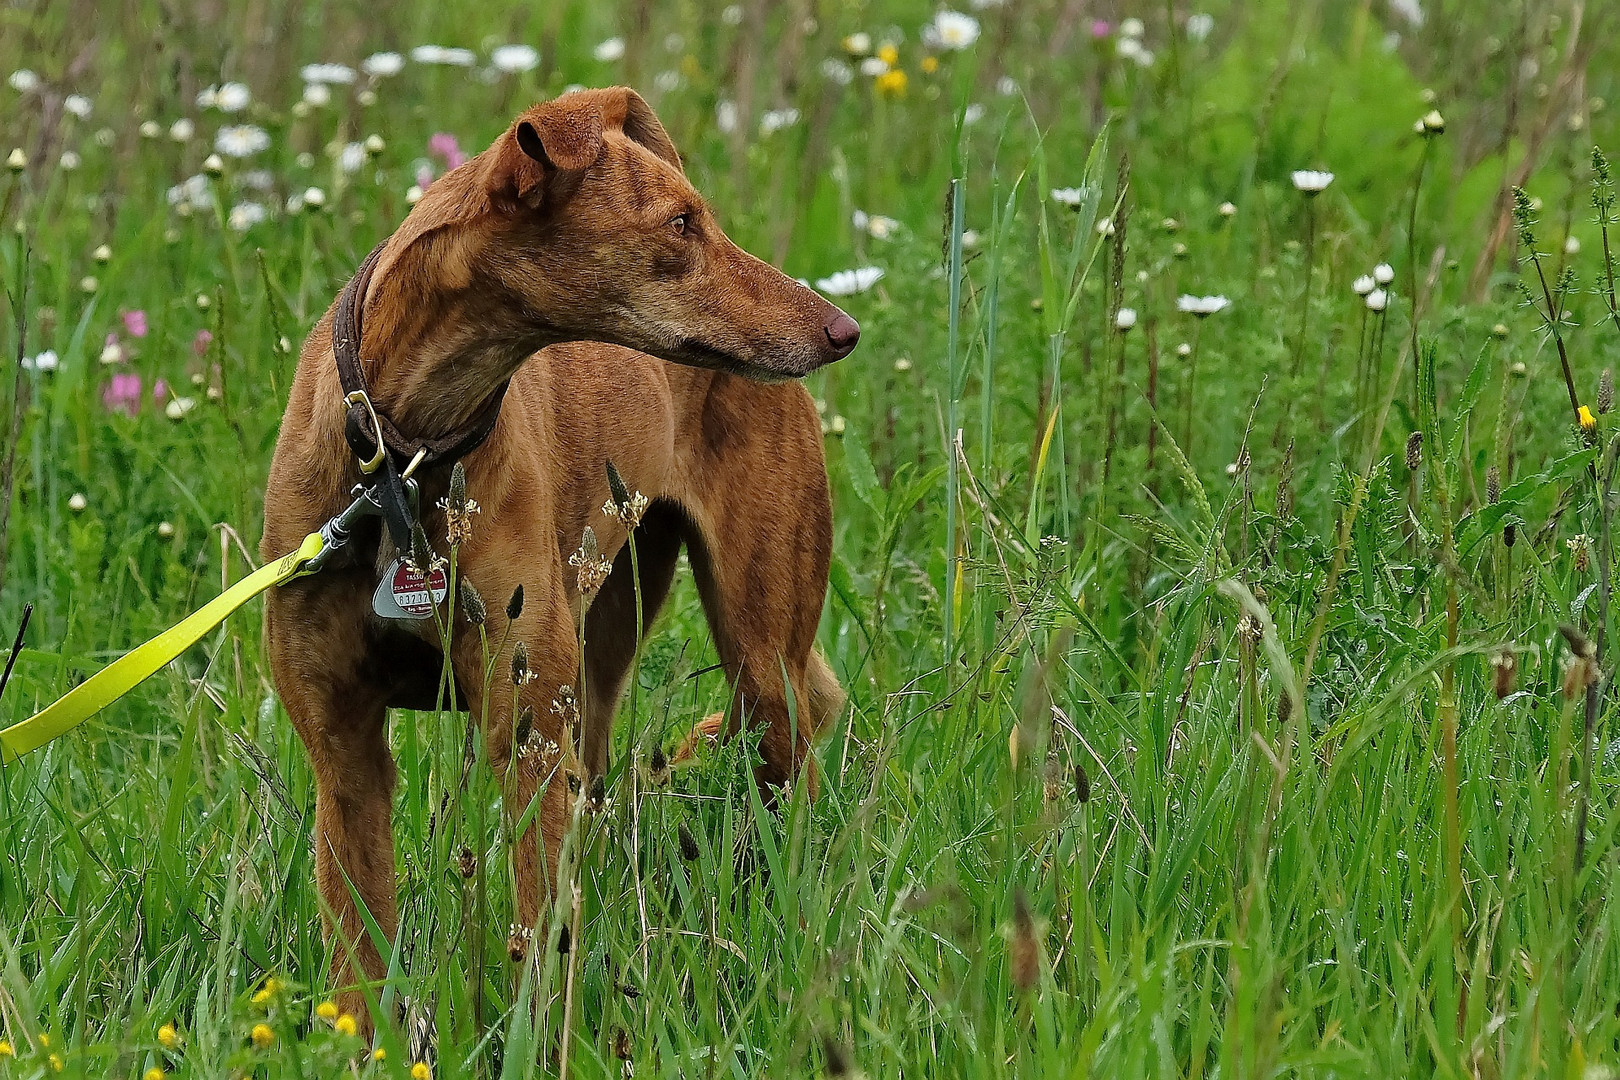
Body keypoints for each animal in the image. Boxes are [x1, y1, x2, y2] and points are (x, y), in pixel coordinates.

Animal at [259, 88, 855, 1029]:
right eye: (681, 222)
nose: (842, 329)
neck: (405, 457)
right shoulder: (344, 752)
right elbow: (362, 968)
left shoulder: (530, 744)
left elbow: (545, 946)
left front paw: (542, 1041)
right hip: (606, 648)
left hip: (763, 667)